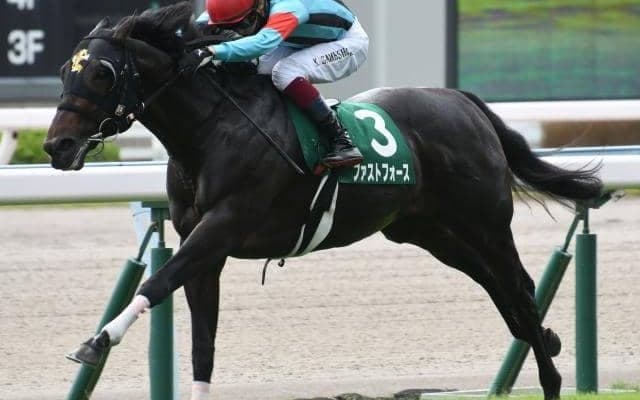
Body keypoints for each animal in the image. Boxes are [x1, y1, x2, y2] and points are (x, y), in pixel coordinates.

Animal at [43, 3, 602, 399]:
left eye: (102, 73)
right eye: (65, 71)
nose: (57, 146)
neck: (210, 131)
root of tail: (461, 100)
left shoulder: (224, 226)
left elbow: (157, 282)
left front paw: (95, 341)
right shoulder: (204, 246)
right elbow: (202, 337)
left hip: (485, 222)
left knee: (520, 290)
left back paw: (551, 378)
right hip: (430, 232)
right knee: (501, 292)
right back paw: (545, 339)